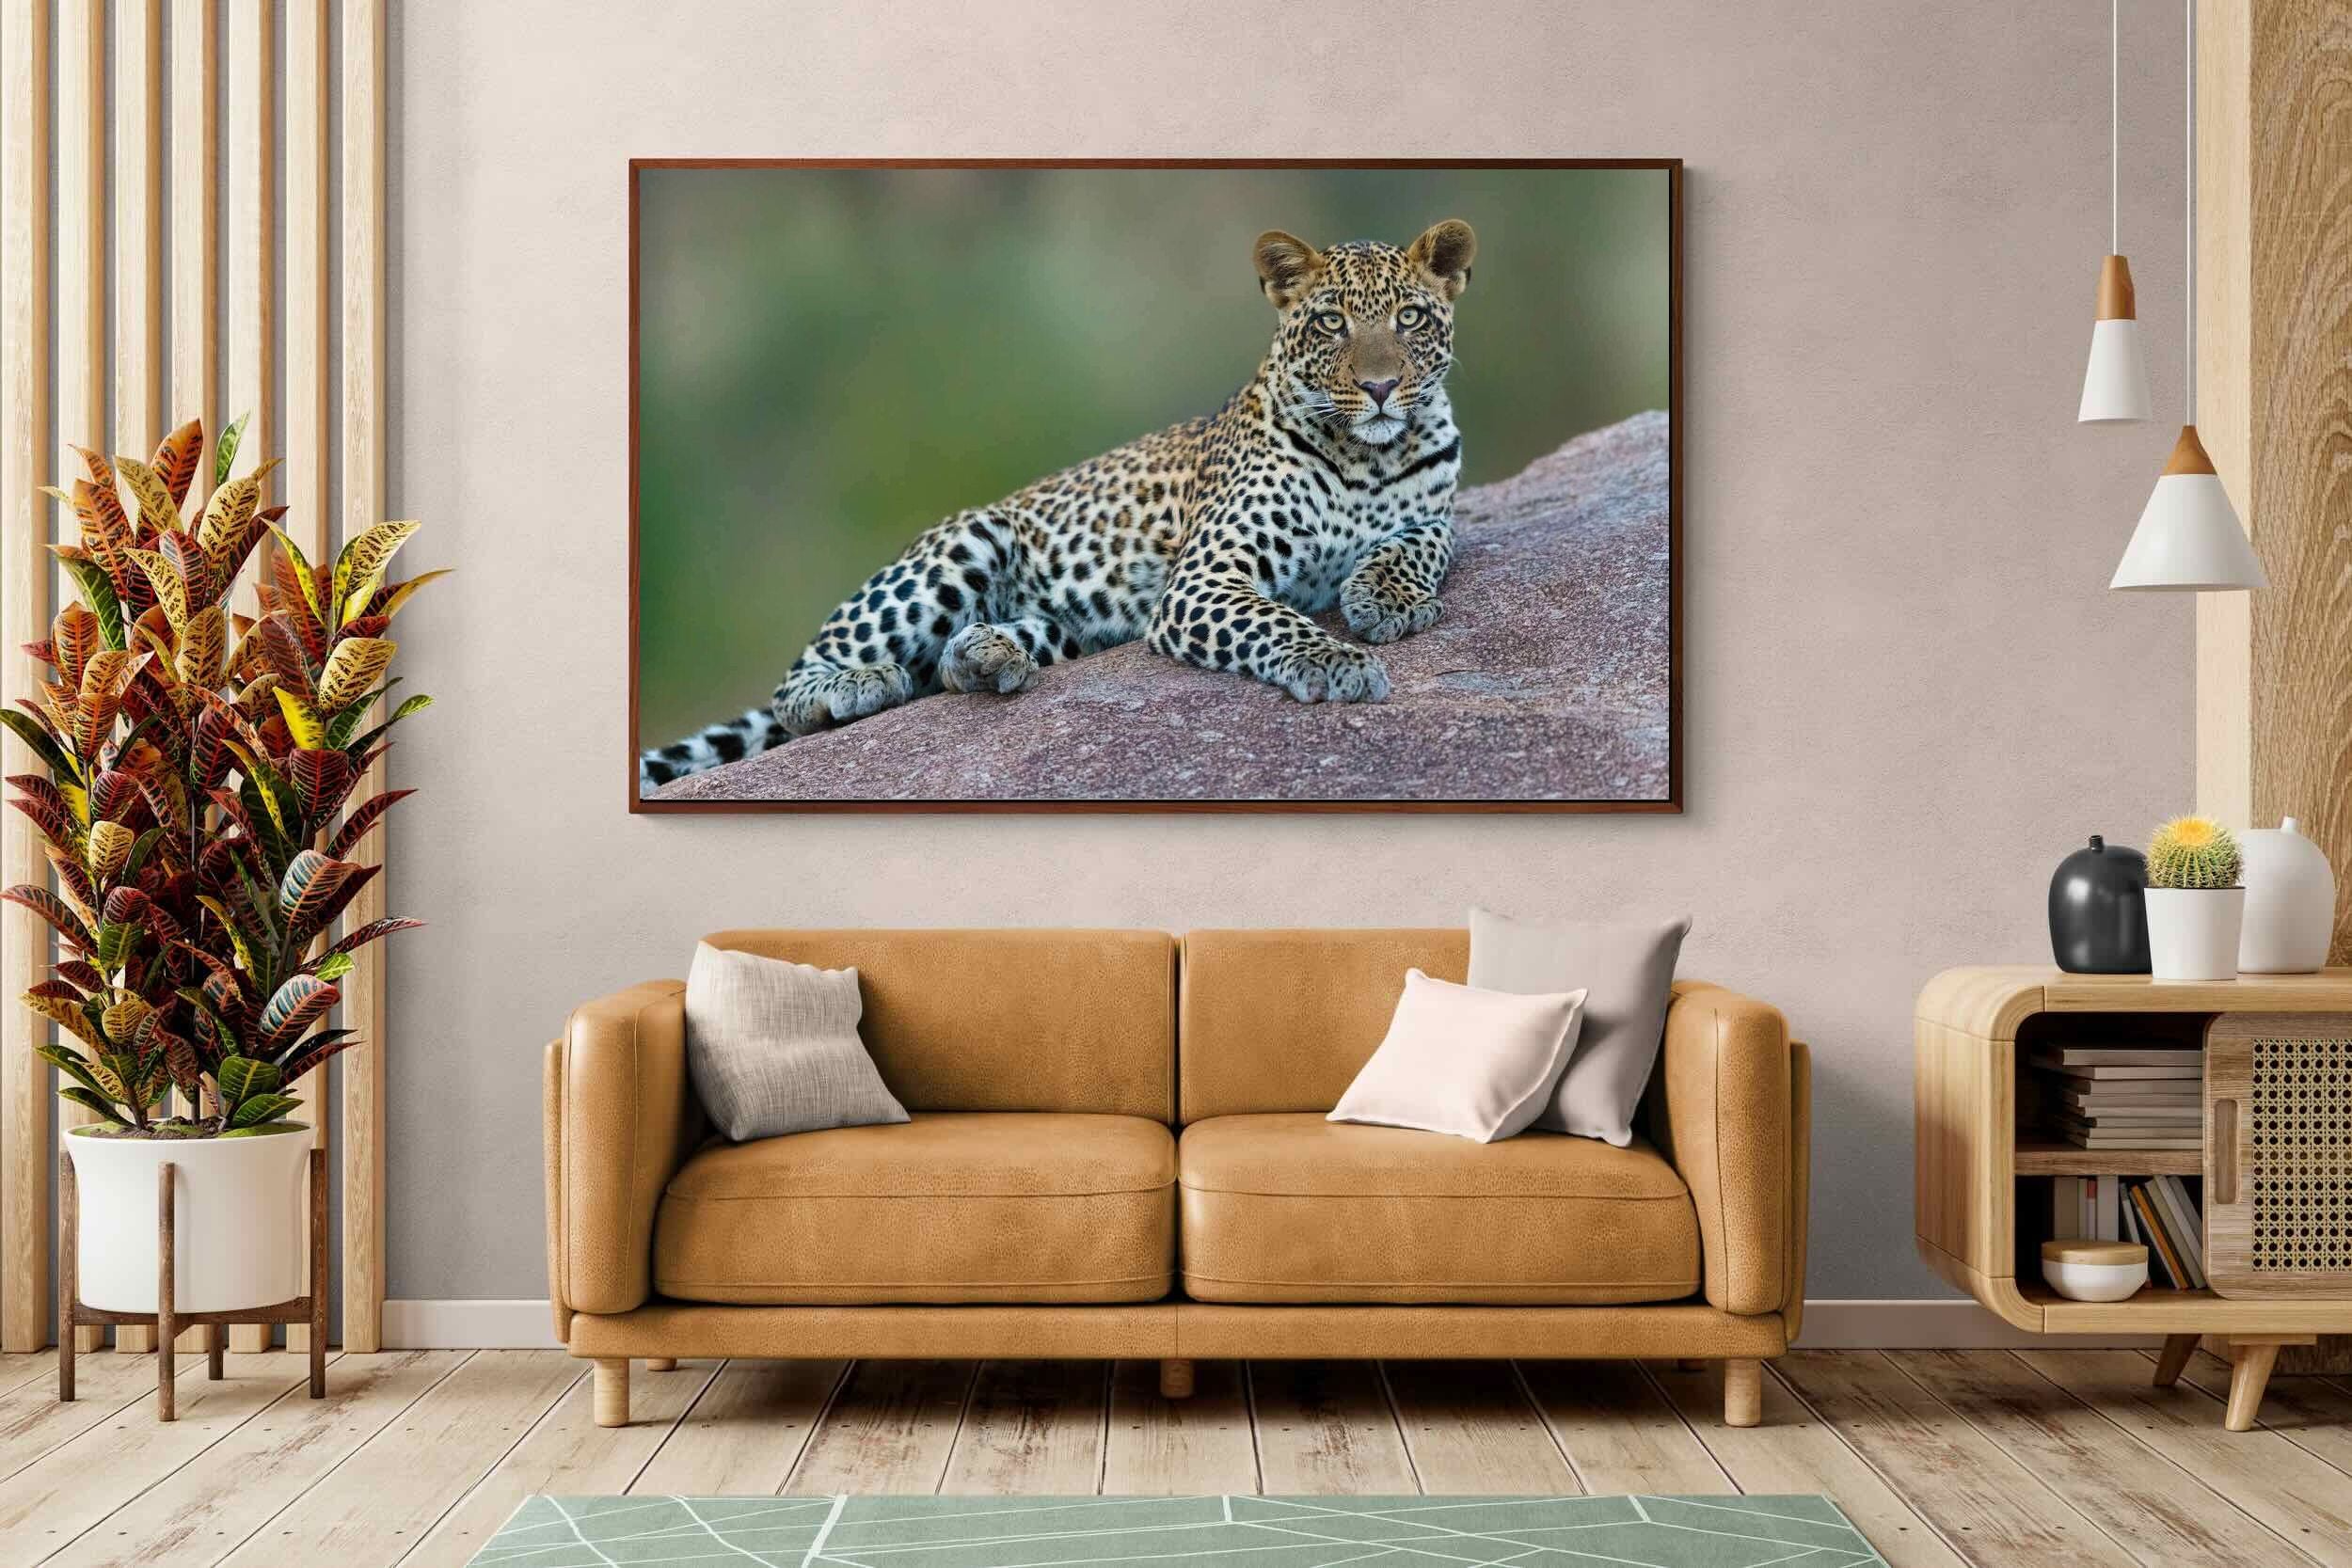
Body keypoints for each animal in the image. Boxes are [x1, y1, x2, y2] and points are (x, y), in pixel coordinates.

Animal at [639, 218, 1476, 793]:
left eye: (1409, 318)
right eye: (1332, 322)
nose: (1380, 387)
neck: (1369, 455)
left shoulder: (1435, 513)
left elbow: (1420, 544)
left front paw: (1384, 598)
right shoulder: (1204, 579)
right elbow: (1276, 620)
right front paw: (1338, 660)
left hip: (1066, 627)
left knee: (959, 661)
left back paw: (985, 656)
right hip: (962, 544)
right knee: (797, 683)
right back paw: (860, 683)